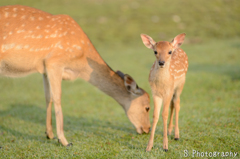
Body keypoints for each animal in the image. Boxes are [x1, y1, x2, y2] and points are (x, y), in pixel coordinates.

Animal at [0, 5, 150, 147]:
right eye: (147, 107)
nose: (147, 129)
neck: (80, 65)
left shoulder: (44, 69)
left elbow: (48, 97)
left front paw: (49, 134)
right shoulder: (54, 62)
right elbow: (57, 98)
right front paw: (64, 141)